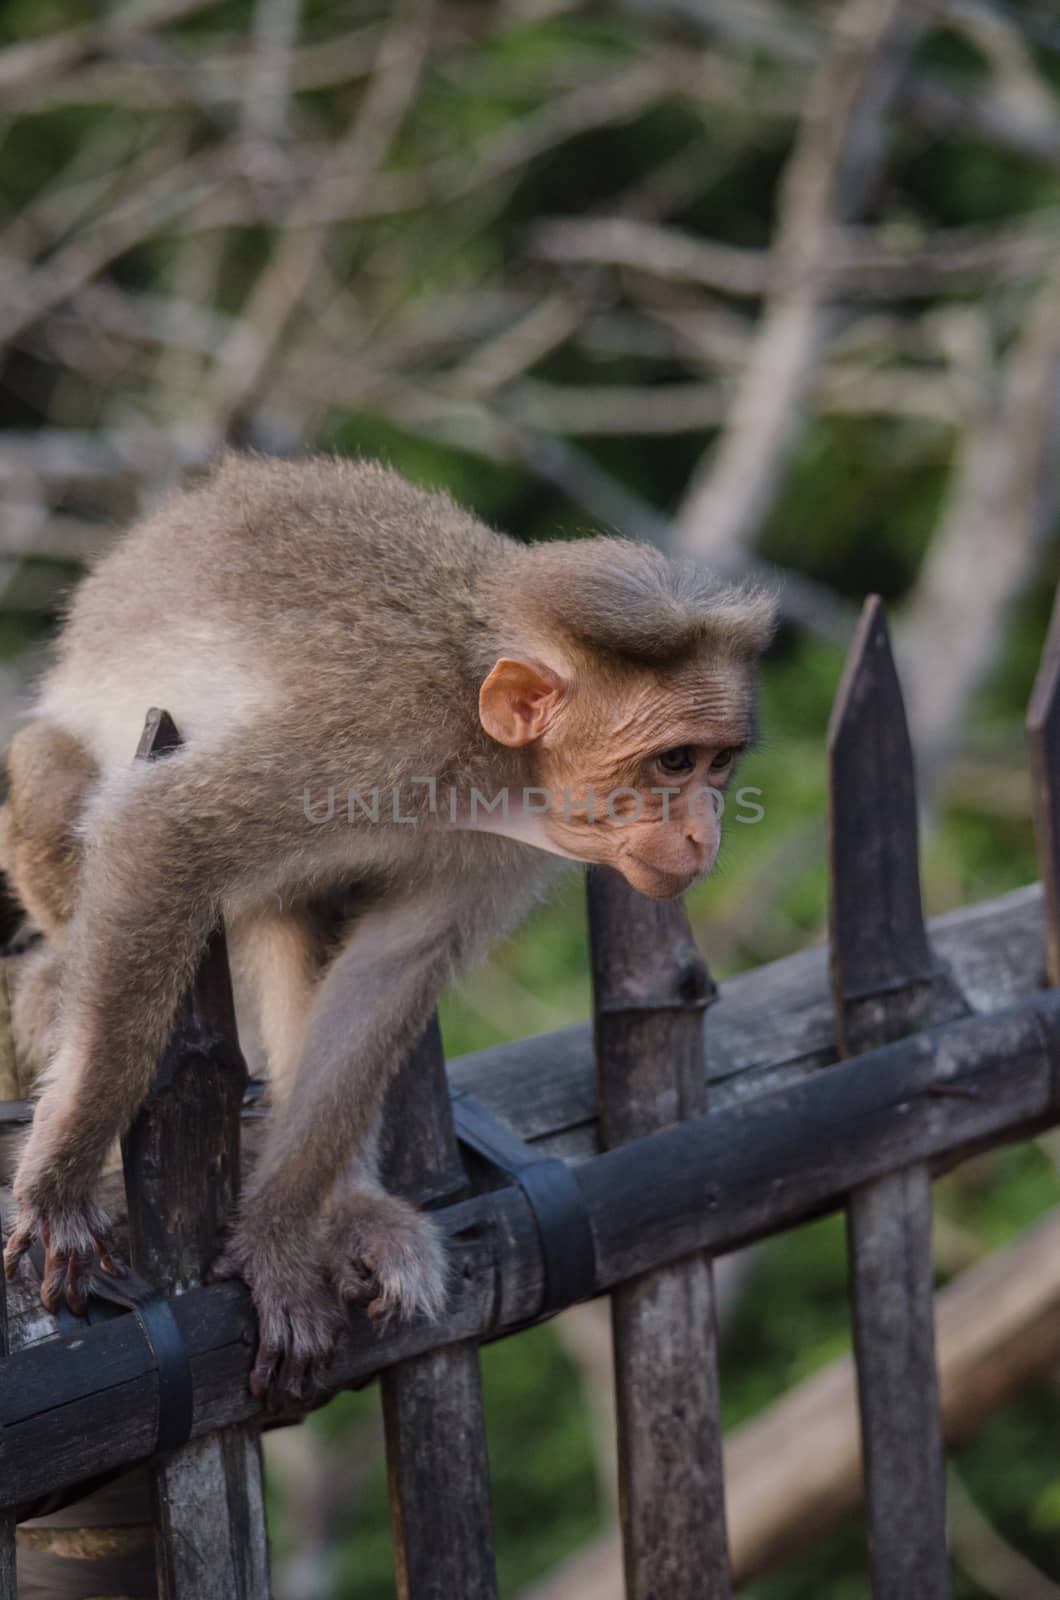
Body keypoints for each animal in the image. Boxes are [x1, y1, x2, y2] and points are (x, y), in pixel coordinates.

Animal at [0, 451, 781, 1401]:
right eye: (673, 762)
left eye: (717, 763)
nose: (706, 831)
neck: (485, 748)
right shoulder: (371, 739)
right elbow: (165, 835)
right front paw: (61, 1186)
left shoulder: (499, 848)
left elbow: (391, 967)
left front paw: (280, 1238)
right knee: (62, 784)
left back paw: (347, 1209)